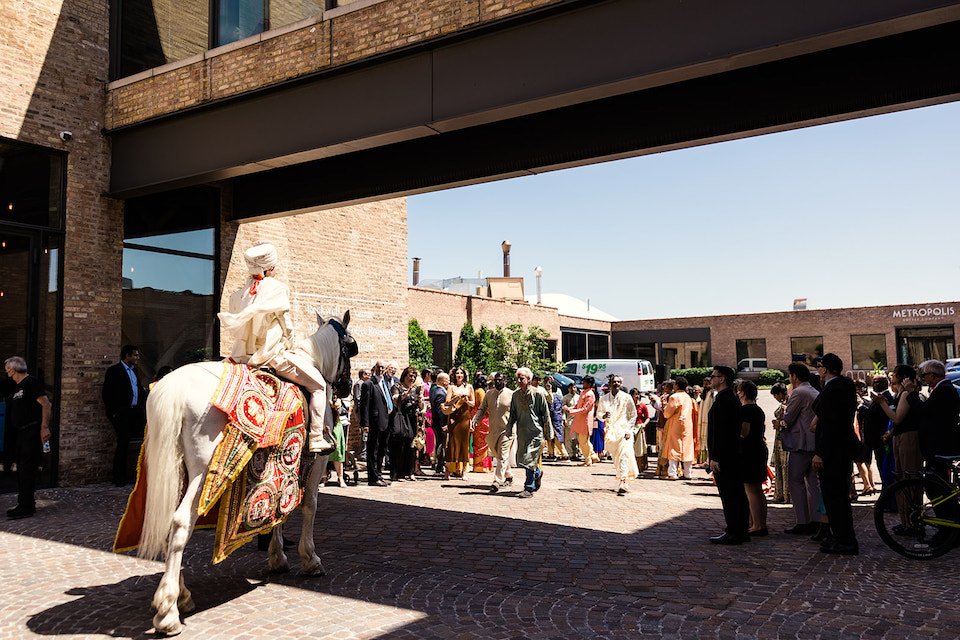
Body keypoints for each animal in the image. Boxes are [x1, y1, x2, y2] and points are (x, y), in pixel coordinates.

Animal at [137, 310, 358, 636]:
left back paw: (182, 595)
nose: (346, 387)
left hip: (177, 470)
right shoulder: (316, 464)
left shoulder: (286, 463)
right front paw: (310, 559)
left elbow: (281, 510)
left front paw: (277, 557)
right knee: (179, 524)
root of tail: (173, 385)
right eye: (351, 347)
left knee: (168, 522)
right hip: (202, 474)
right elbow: (309, 507)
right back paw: (168, 612)